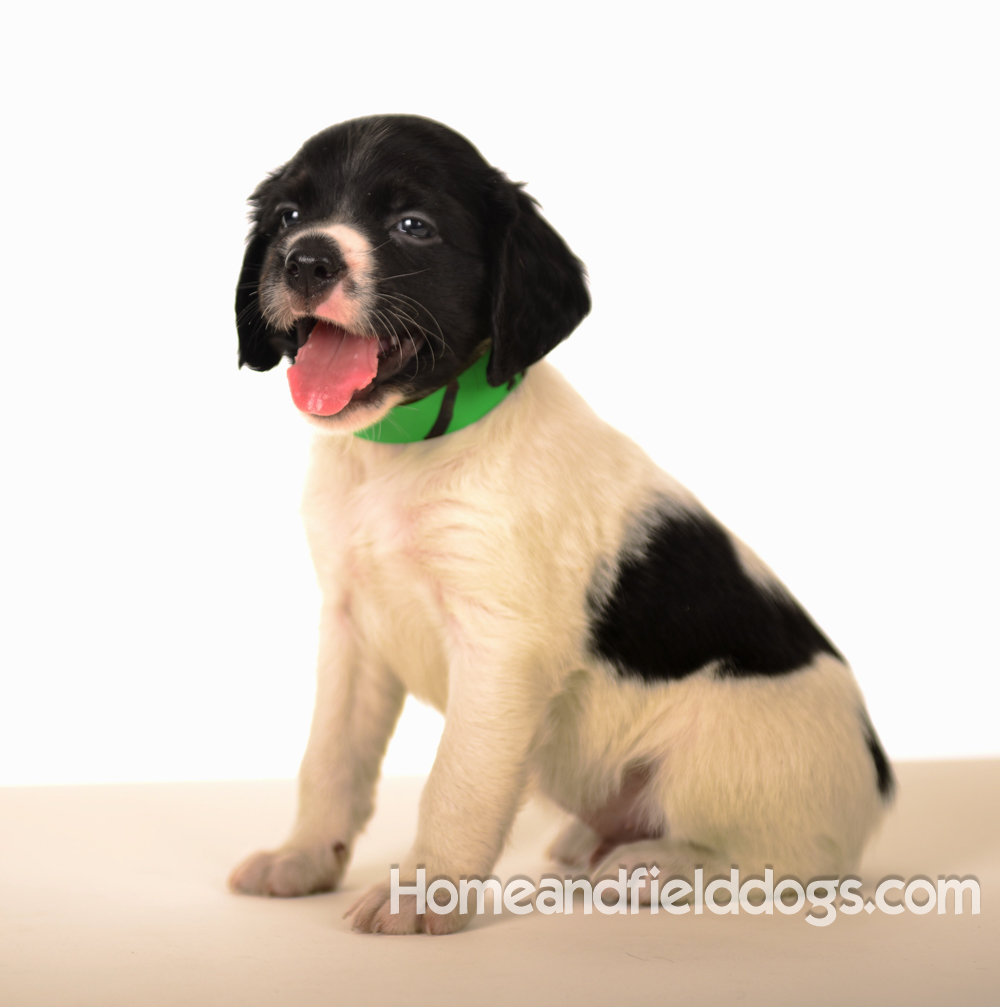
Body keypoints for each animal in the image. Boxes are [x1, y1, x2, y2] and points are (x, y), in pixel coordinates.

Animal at [228, 115, 890, 934]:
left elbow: (456, 781)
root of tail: (878, 779)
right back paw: (592, 843)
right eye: (289, 215)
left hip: (724, 752)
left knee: (790, 860)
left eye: (412, 226)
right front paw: (302, 857)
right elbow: (329, 760)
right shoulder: (351, 629)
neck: (406, 452)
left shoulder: (501, 649)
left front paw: (423, 892)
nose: (307, 257)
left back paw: (658, 864)